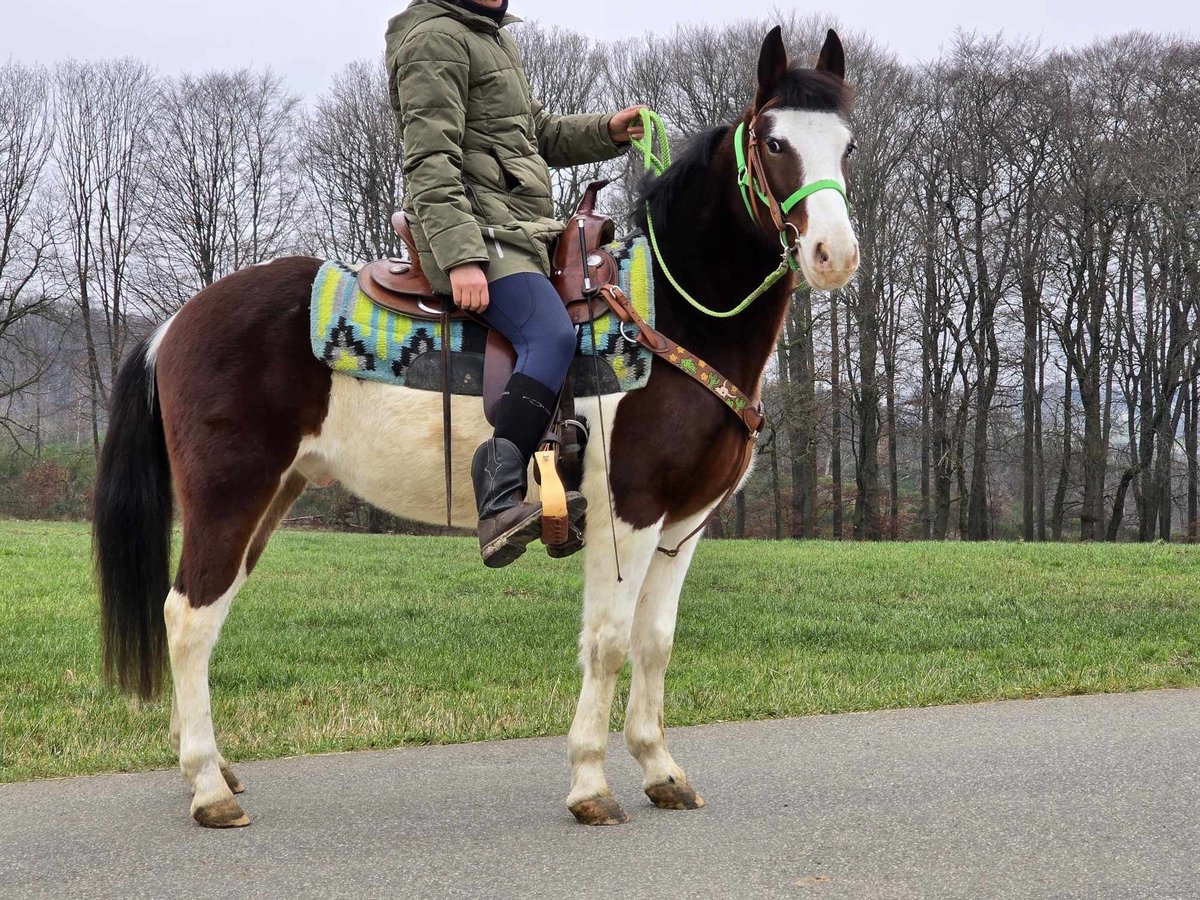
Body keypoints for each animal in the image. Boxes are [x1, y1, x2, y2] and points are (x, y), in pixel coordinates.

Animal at [96, 26, 864, 830]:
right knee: (187, 617)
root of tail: (173, 326)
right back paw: (207, 788)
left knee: (205, 612)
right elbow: (609, 643)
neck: (667, 316)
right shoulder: (626, 514)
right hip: (230, 494)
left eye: (846, 145)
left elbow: (654, 643)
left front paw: (660, 770)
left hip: (269, 499)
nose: (834, 255)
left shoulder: (684, 523)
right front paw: (590, 784)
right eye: (775, 142)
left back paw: (213, 770)